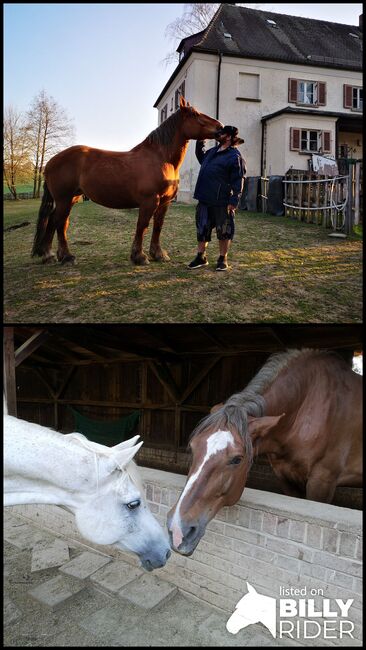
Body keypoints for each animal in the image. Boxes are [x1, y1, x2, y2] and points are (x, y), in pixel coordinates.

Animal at [31, 97, 223, 264]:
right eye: (195, 114)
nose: (220, 127)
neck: (160, 158)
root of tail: (50, 162)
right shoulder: (149, 201)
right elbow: (142, 226)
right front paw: (139, 256)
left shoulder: (164, 202)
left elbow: (158, 226)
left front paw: (158, 254)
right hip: (64, 199)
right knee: (59, 223)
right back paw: (66, 257)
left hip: (71, 198)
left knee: (54, 221)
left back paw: (49, 255)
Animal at [167, 346, 362, 556]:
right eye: (193, 447)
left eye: (237, 459)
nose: (177, 531)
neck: (307, 408)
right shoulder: (285, 477)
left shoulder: (322, 482)